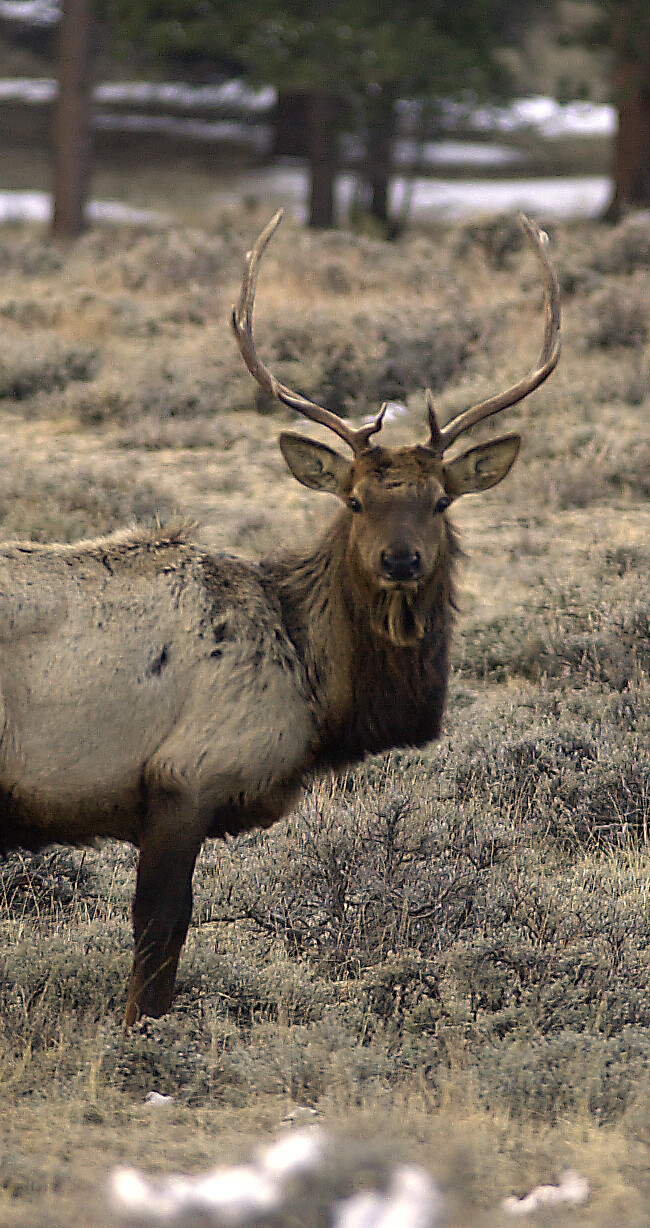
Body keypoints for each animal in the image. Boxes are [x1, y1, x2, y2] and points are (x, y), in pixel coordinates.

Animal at [0, 212, 560, 1026]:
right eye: (354, 499)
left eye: (440, 501)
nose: (400, 559)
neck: (317, 692)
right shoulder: (184, 775)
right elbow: (159, 936)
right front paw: (144, 1038)